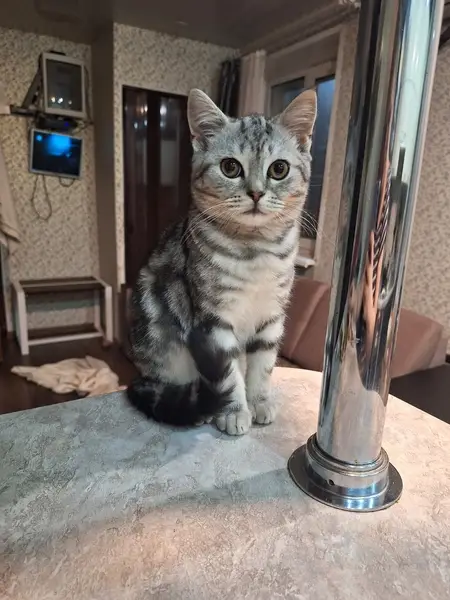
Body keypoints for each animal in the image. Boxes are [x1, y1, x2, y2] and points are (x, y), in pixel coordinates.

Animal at [127, 87, 317, 435]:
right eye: (230, 167)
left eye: (279, 169)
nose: (256, 193)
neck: (256, 251)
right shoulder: (213, 319)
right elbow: (229, 374)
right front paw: (234, 411)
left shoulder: (271, 316)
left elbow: (262, 366)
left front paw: (260, 402)